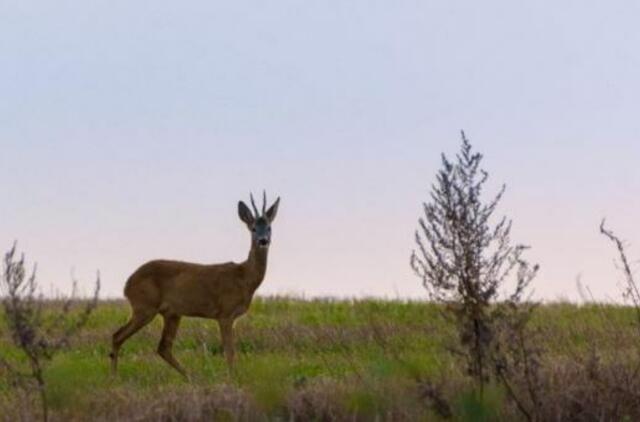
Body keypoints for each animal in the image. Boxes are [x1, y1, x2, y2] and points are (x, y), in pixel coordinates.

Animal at [110, 193, 280, 378]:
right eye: (253, 228)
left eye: (269, 227)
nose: (263, 240)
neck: (244, 277)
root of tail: (127, 284)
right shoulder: (225, 313)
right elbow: (229, 351)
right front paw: (231, 377)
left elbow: (230, 350)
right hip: (144, 307)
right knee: (117, 336)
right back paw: (114, 377)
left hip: (171, 313)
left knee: (163, 347)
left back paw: (190, 377)